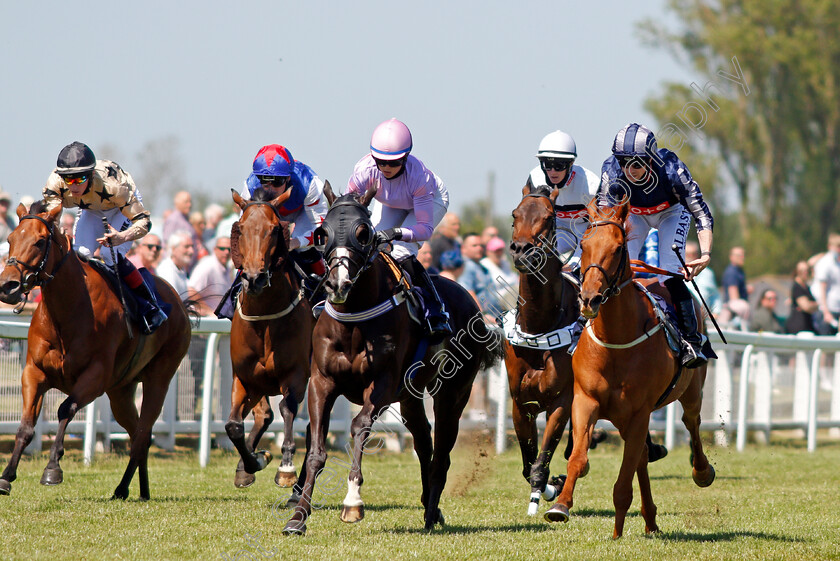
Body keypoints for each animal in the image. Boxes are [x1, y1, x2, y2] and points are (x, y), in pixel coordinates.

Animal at [0, 201, 189, 498]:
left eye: (40, 241)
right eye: (9, 239)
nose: (8, 286)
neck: (68, 311)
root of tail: (179, 302)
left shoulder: (95, 378)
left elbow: (65, 409)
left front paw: (52, 468)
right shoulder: (33, 372)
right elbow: (26, 426)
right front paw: (6, 476)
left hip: (159, 379)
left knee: (142, 434)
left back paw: (123, 488)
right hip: (121, 392)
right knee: (138, 433)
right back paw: (142, 490)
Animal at [226, 187, 312, 486]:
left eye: (275, 229)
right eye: (240, 227)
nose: (254, 278)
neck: (264, 320)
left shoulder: (296, 374)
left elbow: (288, 408)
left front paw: (286, 467)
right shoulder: (244, 377)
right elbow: (233, 425)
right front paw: (253, 461)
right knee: (263, 415)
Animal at [282, 185, 506, 532]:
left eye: (363, 232)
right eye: (322, 233)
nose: (337, 283)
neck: (354, 318)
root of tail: (473, 303)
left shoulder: (383, 384)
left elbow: (359, 426)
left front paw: (352, 502)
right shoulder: (322, 382)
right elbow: (316, 450)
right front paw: (298, 518)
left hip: (453, 392)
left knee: (441, 451)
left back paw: (431, 512)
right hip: (411, 396)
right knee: (424, 441)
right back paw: (430, 507)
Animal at [544, 202, 716, 540]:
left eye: (617, 248)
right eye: (584, 245)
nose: (589, 298)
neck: (616, 341)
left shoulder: (639, 411)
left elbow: (623, 482)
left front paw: (617, 531)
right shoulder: (586, 401)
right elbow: (579, 457)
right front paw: (561, 505)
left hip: (690, 392)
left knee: (691, 424)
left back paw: (702, 472)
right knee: (642, 459)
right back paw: (650, 519)